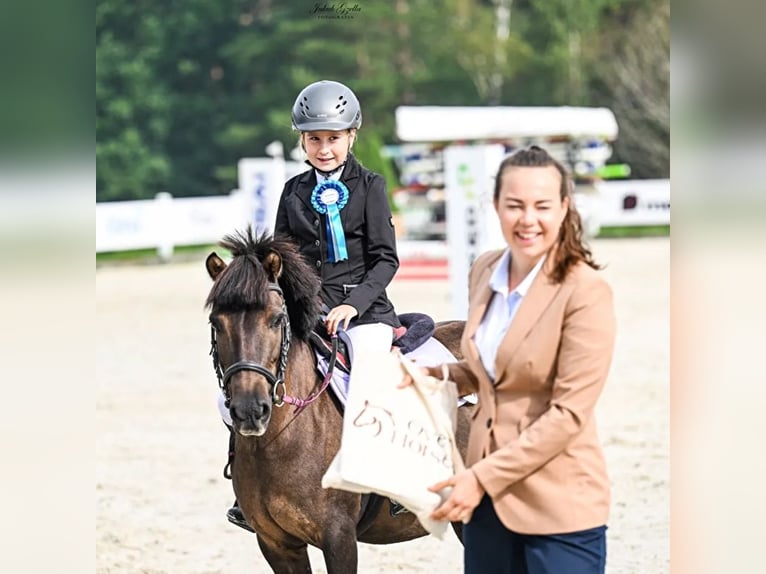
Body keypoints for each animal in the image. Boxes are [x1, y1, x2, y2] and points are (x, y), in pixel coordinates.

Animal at [207, 227, 472, 572]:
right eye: (216, 323)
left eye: (277, 319)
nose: (250, 410)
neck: (283, 439)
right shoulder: (276, 544)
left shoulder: (339, 537)